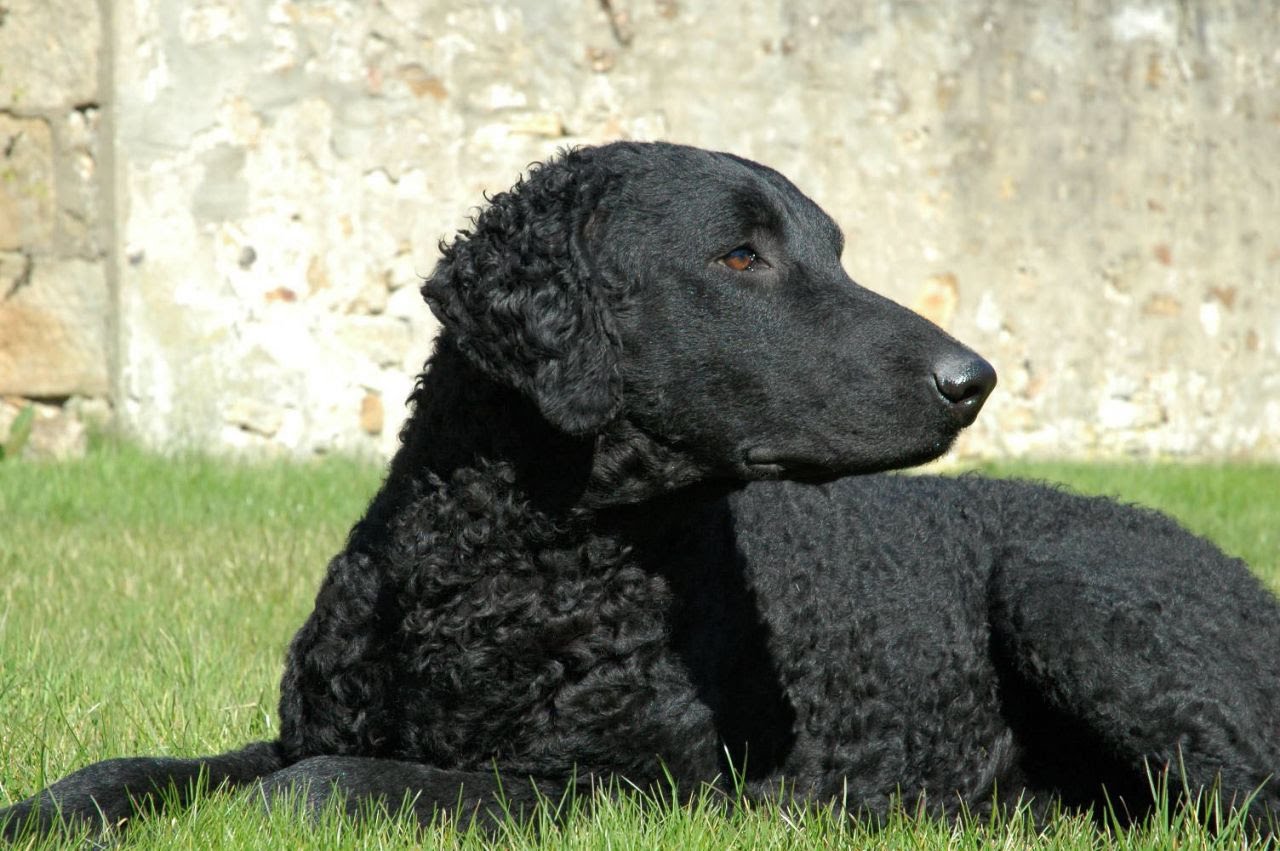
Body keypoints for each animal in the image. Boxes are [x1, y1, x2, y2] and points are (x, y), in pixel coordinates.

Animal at [2, 140, 1280, 834]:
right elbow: (136, 771)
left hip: (1073, 588)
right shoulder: (301, 724)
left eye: (833, 251)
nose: (973, 378)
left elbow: (330, 786)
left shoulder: (628, 786)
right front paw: (42, 812)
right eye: (740, 255)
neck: (500, 568)